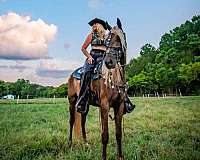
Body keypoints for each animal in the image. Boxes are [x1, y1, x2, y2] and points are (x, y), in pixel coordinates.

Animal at [68, 18, 127, 159]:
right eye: (108, 41)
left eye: (119, 38)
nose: (109, 61)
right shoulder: (104, 106)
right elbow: (105, 135)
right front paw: (104, 157)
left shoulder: (120, 105)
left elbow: (118, 134)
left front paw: (120, 156)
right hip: (72, 101)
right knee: (72, 121)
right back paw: (70, 143)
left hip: (85, 105)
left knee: (82, 121)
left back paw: (86, 143)